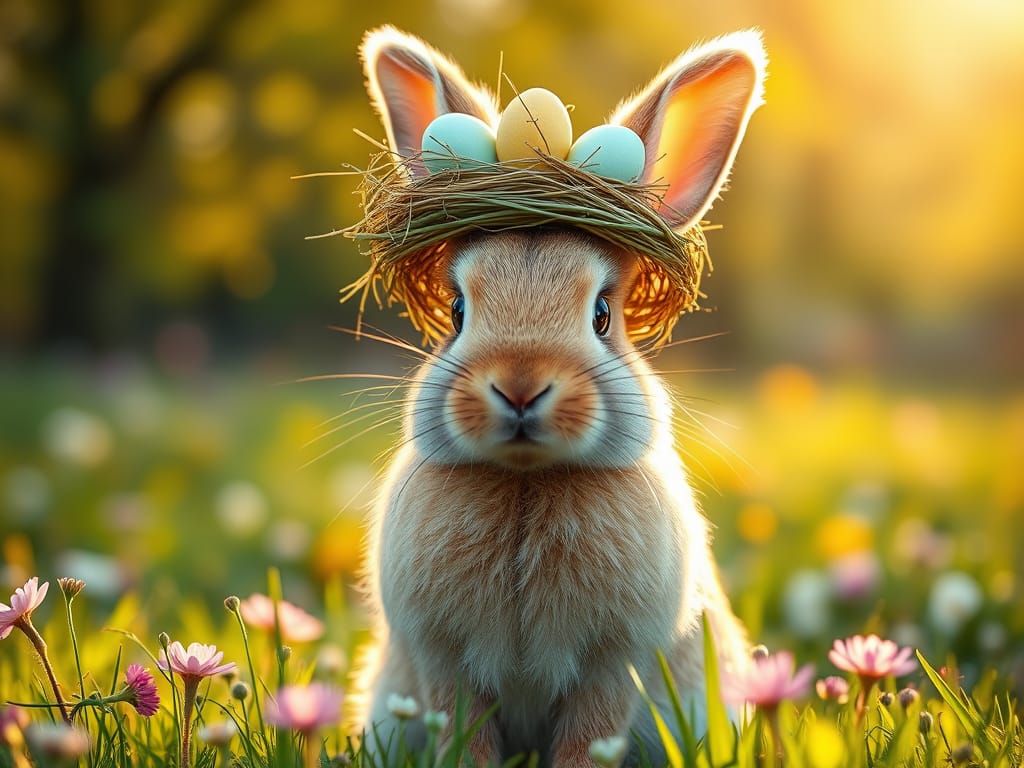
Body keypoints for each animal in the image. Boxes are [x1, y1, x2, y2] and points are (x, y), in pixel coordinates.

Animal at [348, 26, 767, 768]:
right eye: (457, 310)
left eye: (603, 315)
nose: (519, 385)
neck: (526, 482)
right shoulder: (447, 664)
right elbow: (467, 737)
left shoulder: (611, 667)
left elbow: (586, 739)